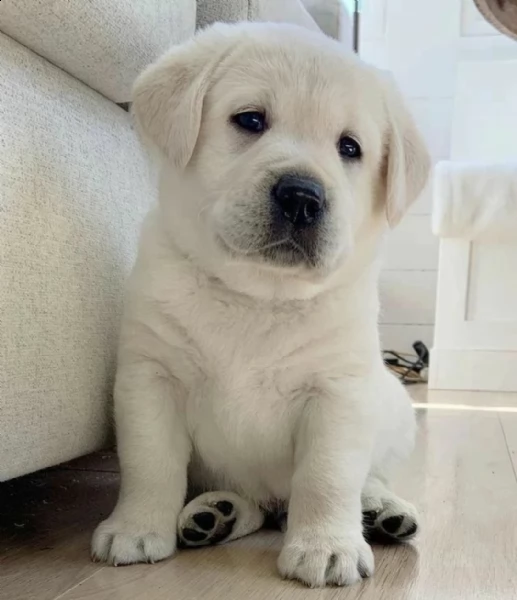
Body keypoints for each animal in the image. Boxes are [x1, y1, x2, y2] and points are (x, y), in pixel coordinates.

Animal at [90, 21, 430, 588]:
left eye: (350, 147)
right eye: (250, 119)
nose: (302, 197)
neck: (258, 296)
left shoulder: (338, 391)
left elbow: (327, 475)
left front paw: (326, 547)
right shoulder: (151, 377)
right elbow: (150, 462)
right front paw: (136, 528)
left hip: (393, 408)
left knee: (368, 476)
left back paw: (382, 511)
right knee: (250, 502)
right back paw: (215, 515)